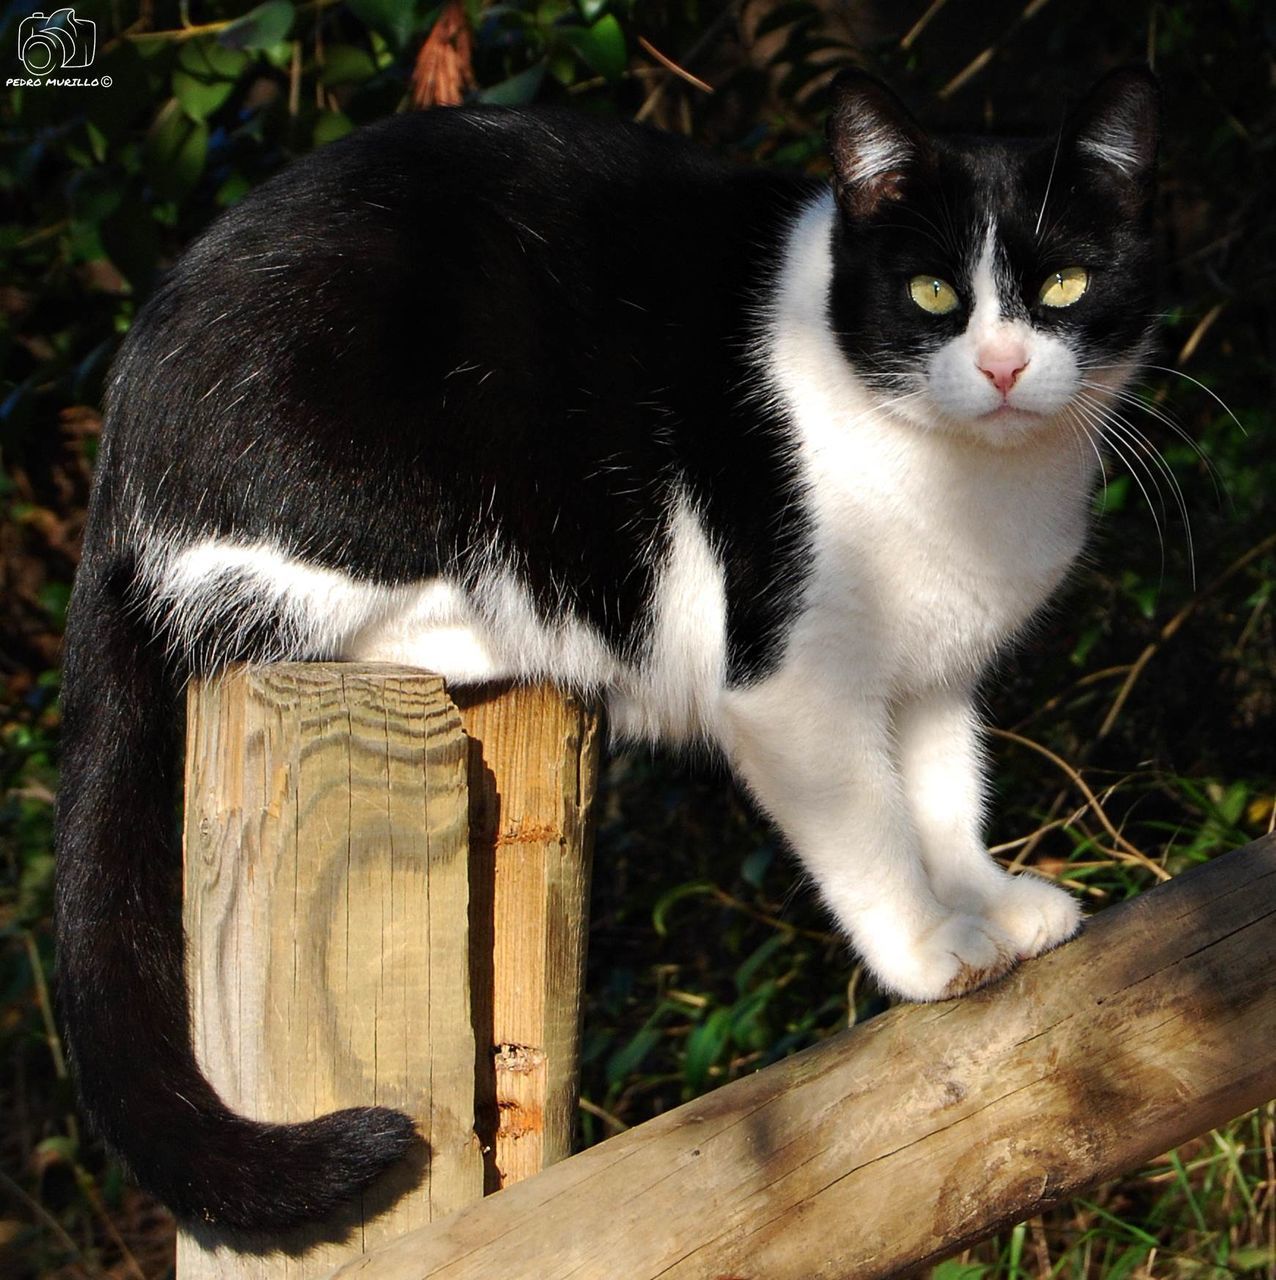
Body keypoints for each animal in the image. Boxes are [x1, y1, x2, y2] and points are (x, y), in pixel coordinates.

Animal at [54, 67, 1162, 1228]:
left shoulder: (933, 674)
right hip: (381, 460)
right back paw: (494, 631)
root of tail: (127, 422)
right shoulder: (793, 680)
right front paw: (926, 948)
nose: (1002, 365)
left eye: (1068, 285)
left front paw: (983, 900)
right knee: (264, 619)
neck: (966, 486)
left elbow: (944, 793)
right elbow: (871, 825)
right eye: (934, 295)